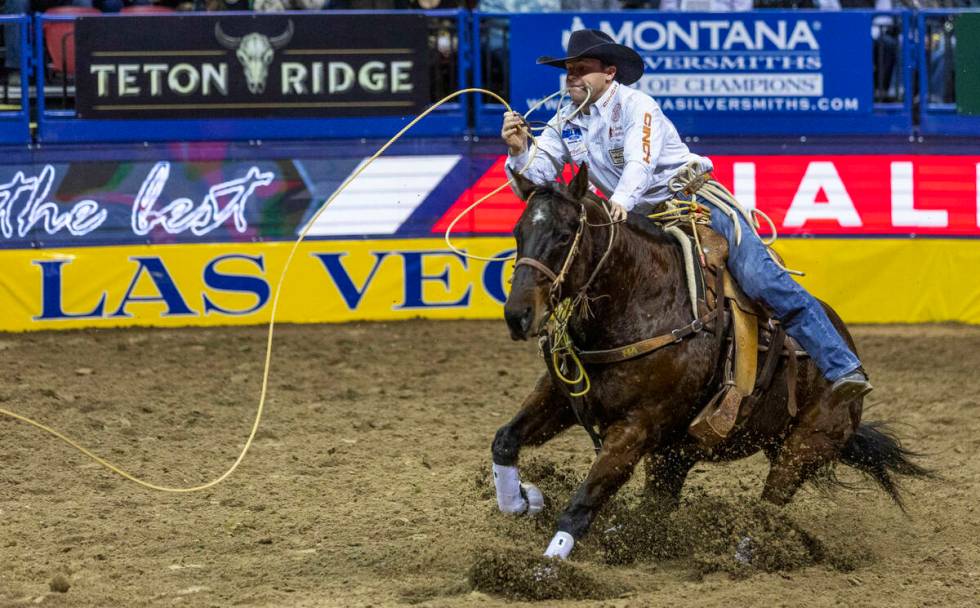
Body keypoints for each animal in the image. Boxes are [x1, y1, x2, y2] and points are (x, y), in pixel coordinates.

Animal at [494, 165, 932, 560]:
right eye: (518, 232)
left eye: (565, 234)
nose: (517, 316)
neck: (641, 303)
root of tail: (848, 346)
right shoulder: (561, 395)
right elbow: (505, 440)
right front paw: (521, 501)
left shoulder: (637, 427)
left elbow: (583, 502)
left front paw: (543, 570)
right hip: (676, 455)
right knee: (657, 507)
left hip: (803, 447)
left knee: (768, 506)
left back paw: (745, 551)